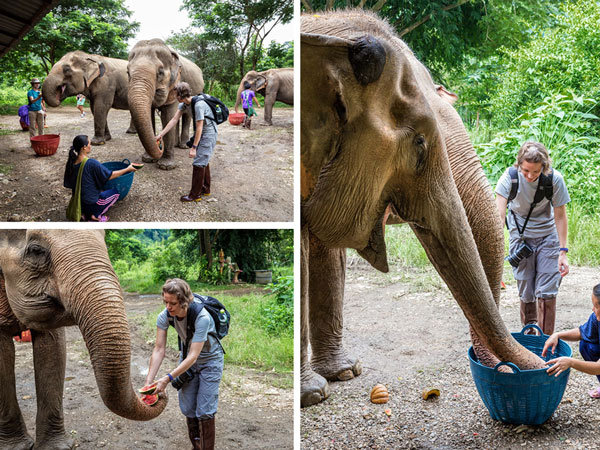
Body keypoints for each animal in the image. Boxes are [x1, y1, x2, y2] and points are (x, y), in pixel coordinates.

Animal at [127, 38, 205, 171]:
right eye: (128, 72)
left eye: (160, 72)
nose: (158, 142)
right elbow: (152, 116)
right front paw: (148, 159)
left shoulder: (175, 83)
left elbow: (168, 116)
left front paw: (165, 166)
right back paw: (176, 144)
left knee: (187, 115)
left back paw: (183, 146)